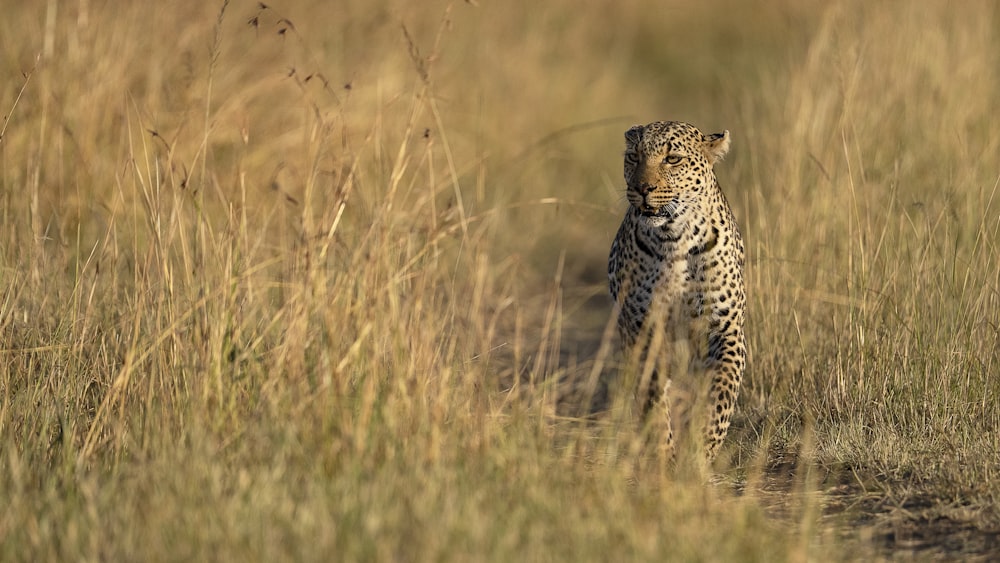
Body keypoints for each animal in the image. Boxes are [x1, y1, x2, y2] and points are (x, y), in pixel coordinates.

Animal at [604, 120, 748, 462]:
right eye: (634, 156)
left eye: (672, 159)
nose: (643, 188)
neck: (674, 236)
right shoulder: (644, 330)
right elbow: (653, 397)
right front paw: (663, 450)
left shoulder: (725, 328)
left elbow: (721, 392)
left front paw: (703, 447)